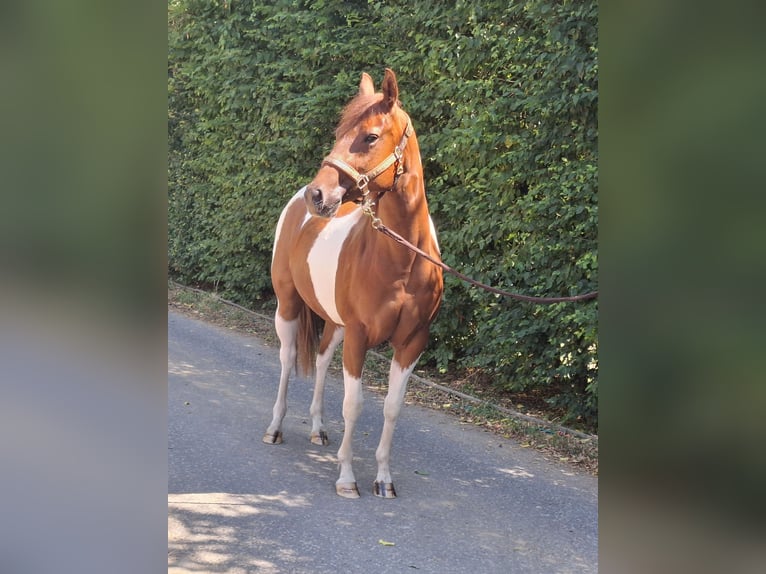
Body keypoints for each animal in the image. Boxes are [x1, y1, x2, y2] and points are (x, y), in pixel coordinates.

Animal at [263, 68, 443, 499]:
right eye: (340, 132)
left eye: (371, 137)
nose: (318, 194)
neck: (404, 260)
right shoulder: (360, 335)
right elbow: (354, 404)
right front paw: (346, 477)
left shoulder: (412, 342)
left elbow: (392, 407)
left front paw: (384, 479)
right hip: (288, 306)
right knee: (287, 359)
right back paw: (275, 428)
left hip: (335, 322)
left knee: (322, 359)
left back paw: (317, 429)